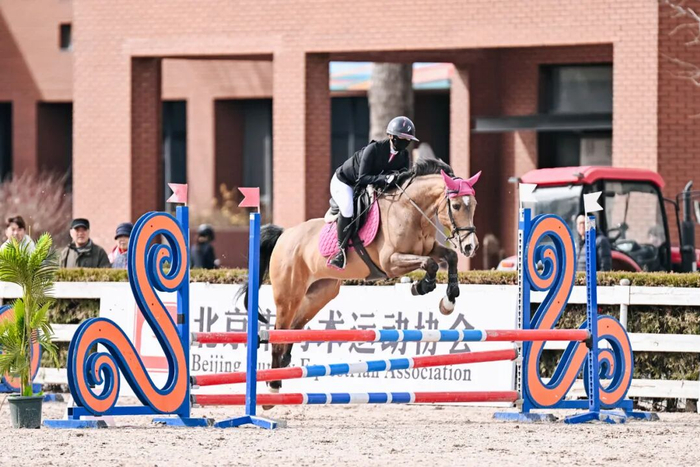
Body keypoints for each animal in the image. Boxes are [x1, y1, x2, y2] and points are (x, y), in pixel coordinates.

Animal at [237, 158, 480, 397]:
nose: (471, 247)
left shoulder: (429, 249)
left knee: (294, 328)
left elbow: (449, 257)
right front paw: (421, 286)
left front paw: (448, 301)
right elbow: (429, 264)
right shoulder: (390, 261)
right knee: (278, 332)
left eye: (474, 205)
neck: (410, 211)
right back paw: (273, 385)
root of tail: (284, 234)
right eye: (456, 206)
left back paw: (284, 366)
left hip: (321, 293)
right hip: (288, 295)